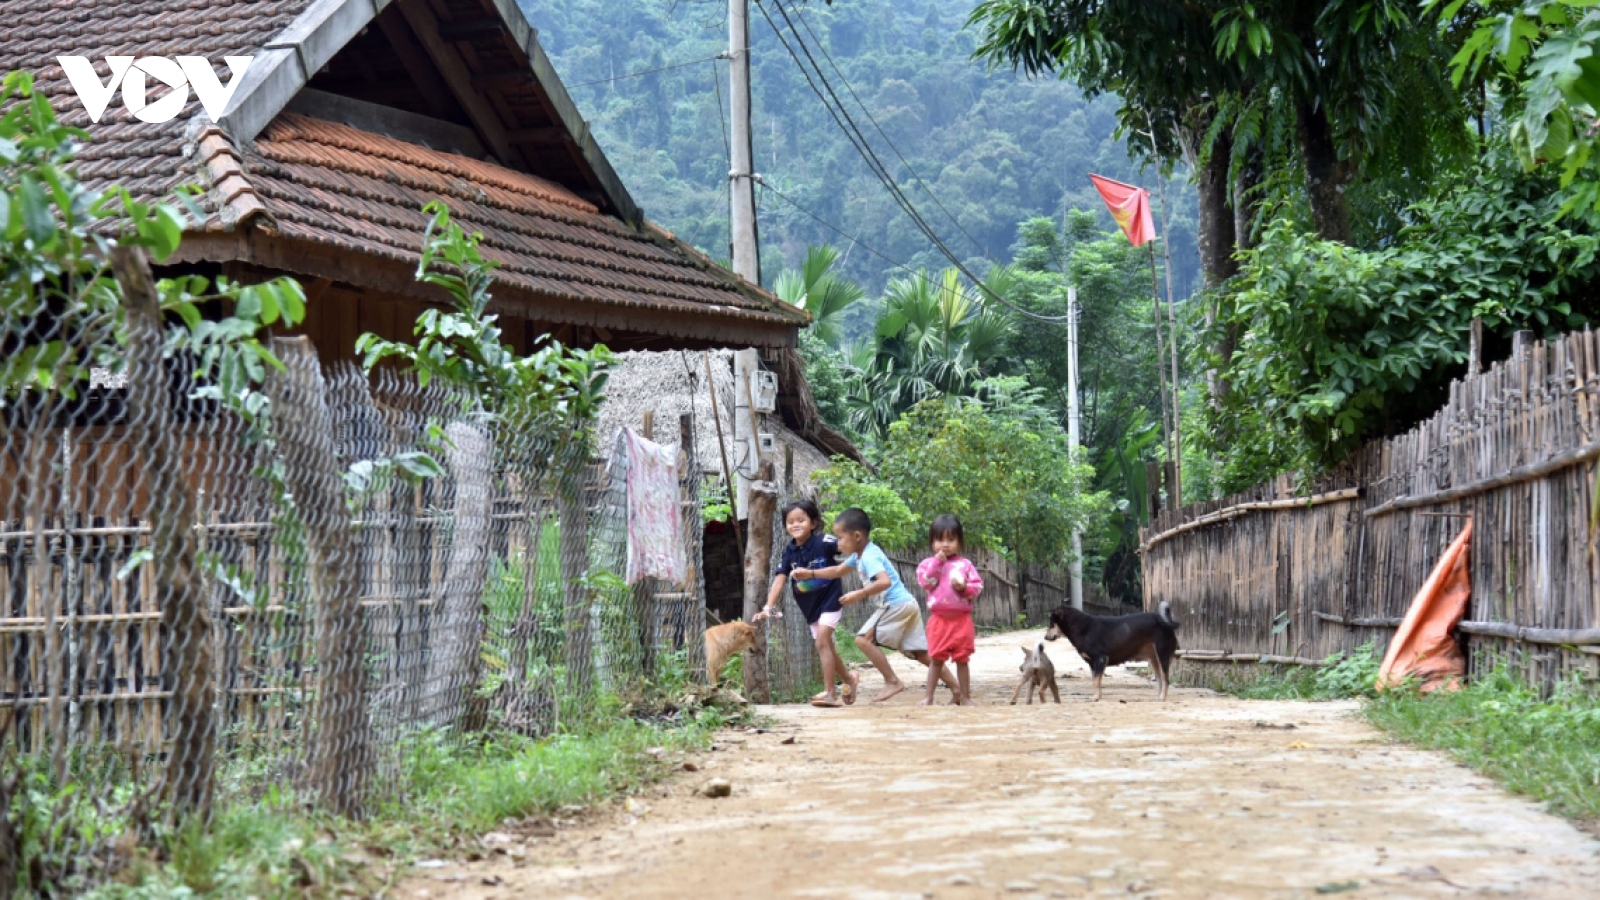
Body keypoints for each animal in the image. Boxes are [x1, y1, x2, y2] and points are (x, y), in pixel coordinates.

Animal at [1043, 602, 1184, 701]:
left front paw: (1095, 698)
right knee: (1160, 680)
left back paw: (1163, 698)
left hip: (1162, 656)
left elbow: (1095, 680)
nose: (1045, 637)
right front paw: (1098, 696)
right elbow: (1096, 681)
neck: (1082, 628)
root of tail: (1162, 620)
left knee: (1166, 680)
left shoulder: (1101, 659)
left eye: (1051, 623)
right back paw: (1159, 696)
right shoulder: (1093, 664)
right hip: (1154, 659)